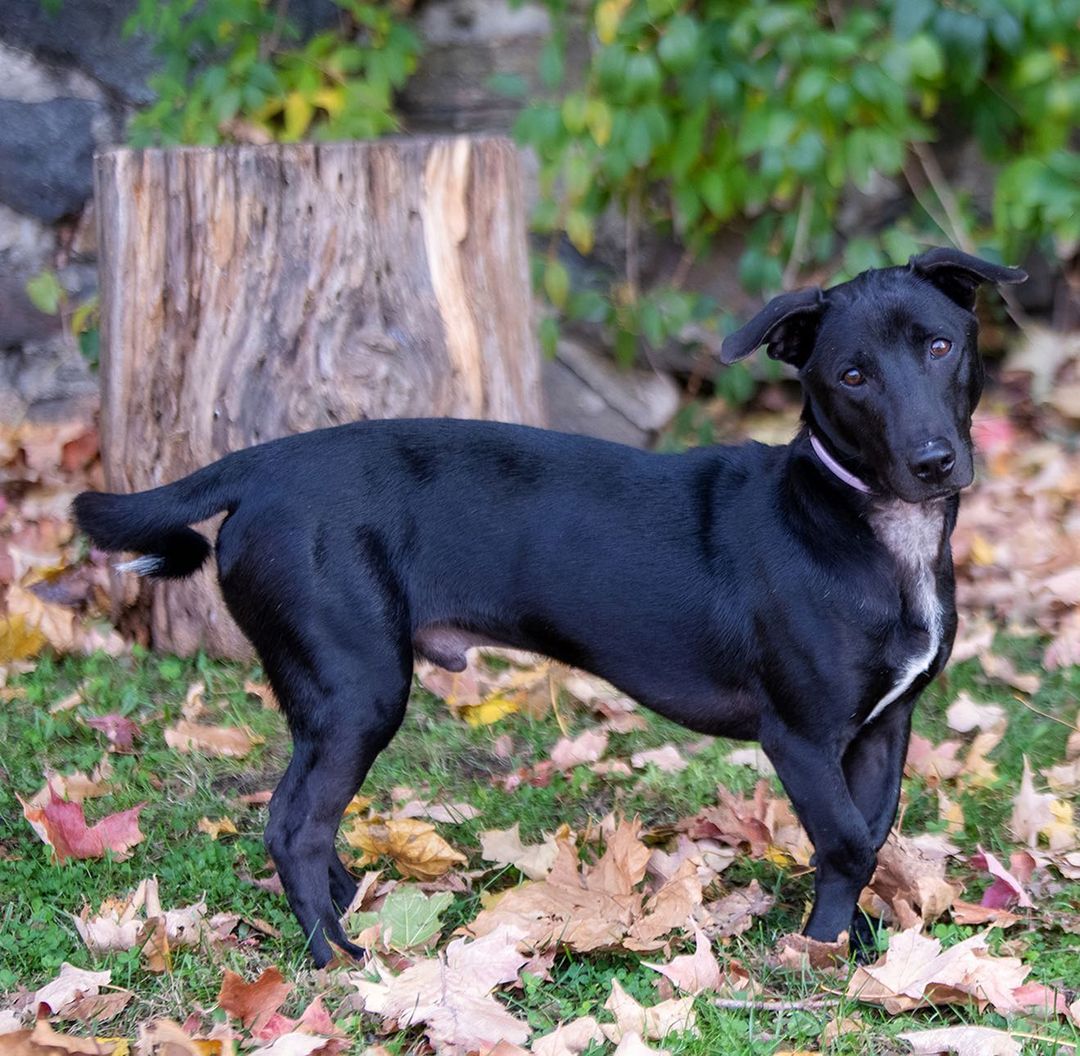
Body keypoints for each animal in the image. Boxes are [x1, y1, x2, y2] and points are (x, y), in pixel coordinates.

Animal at [73, 245, 1019, 963]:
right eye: (852, 376)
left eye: (940, 347)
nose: (933, 460)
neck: (867, 528)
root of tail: (261, 464)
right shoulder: (802, 735)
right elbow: (848, 839)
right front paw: (821, 953)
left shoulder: (885, 726)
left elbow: (869, 834)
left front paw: (858, 946)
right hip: (358, 689)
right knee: (292, 827)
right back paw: (332, 954)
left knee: (306, 819)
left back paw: (345, 907)